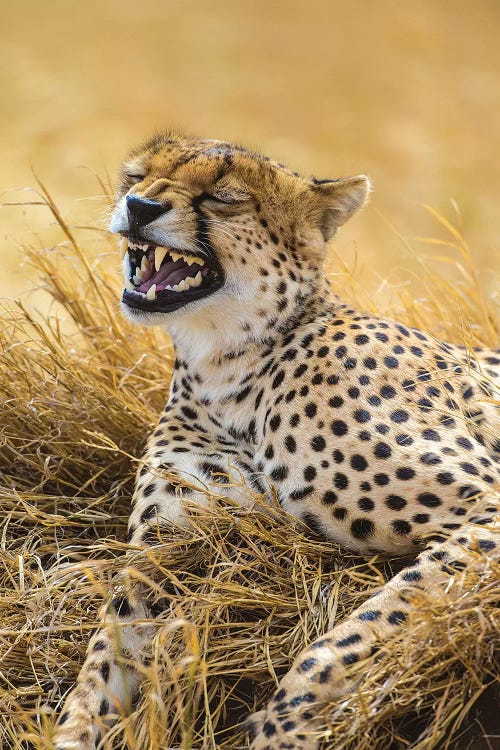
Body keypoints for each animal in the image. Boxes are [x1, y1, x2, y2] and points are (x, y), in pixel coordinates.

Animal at [51, 132, 500, 748]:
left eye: (223, 197)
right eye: (136, 176)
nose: (140, 207)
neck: (228, 371)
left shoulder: (487, 508)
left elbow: (363, 627)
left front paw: (284, 726)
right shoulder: (162, 556)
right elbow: (99, 666)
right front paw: (68, 731)